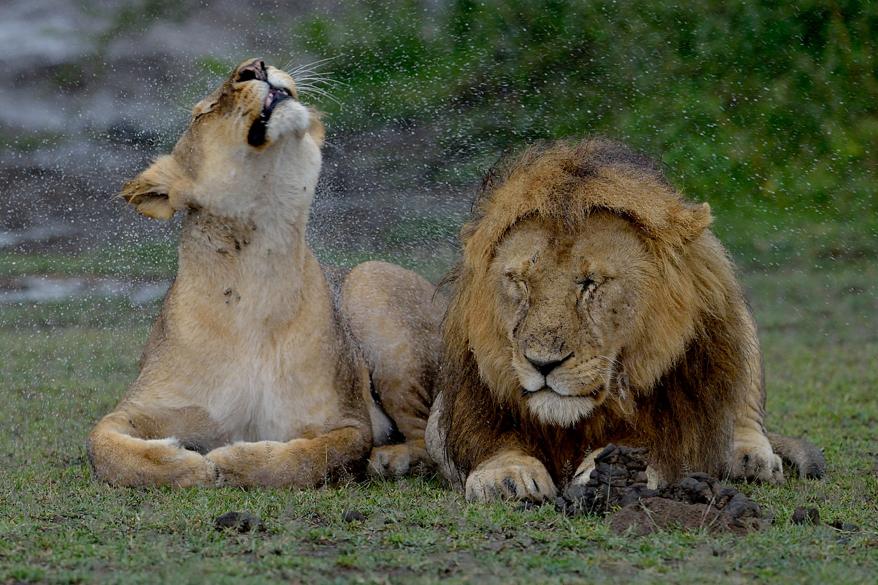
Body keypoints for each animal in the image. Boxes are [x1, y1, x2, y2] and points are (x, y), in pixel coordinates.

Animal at [88, 59, 444, 488]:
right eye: (203, 112)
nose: (255, 66)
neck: (257, 274)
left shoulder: (348, 420)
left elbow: (314, 456)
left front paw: (232, 462)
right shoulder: (139, 406)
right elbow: (103, 445)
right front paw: (187, 466)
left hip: (370, 283)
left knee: (426, 436)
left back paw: (391, 459)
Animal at [426, 138, 824, 502]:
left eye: (592, 283)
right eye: (520, 281)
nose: (543, 364)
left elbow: (646, 446)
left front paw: (610, 475)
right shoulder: (451, 415)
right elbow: (493, 442)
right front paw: (506, 475)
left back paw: (750, 457)